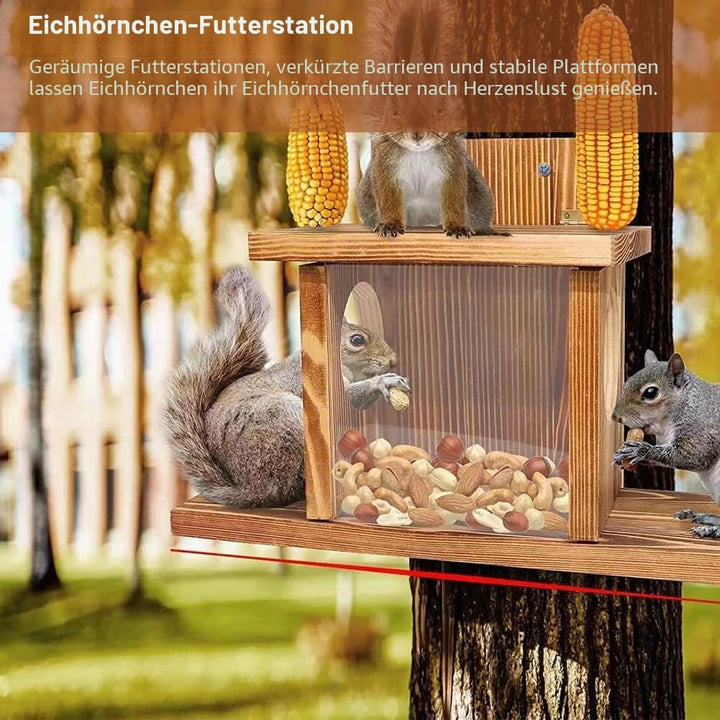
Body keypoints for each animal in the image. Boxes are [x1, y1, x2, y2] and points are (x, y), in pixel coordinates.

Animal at [163, 267, 408, 509]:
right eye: (357, 340)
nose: (394, 360)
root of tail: (253, 492)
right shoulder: (306, 380)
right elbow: (351, 395)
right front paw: (385, 381)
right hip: (281, 418)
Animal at [356, 132, 507, 239]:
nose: (417, 135)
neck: (418, 152)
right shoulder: (383, 163)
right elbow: (387, 196)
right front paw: (390, 225)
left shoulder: (454, 163)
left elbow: (454, 197)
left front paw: (457, 228)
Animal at [612, 350, 720, 538]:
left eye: (651, 392)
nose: (615, 417)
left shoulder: (701, 429)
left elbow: (692, 456)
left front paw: (640, 451)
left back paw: (711, 529)